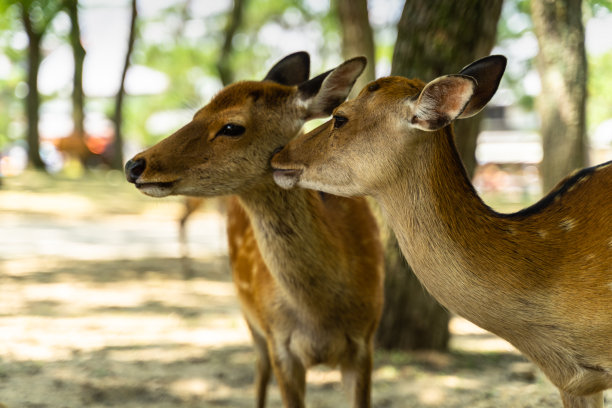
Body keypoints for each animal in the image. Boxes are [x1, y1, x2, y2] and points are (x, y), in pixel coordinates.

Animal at [124, 51, 382, 408]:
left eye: (232, 127)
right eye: (197, 114)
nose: (134, 165)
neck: (320, 314)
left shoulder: (365, 343)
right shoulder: (280, 342)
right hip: (250, 318)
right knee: (259, 370)